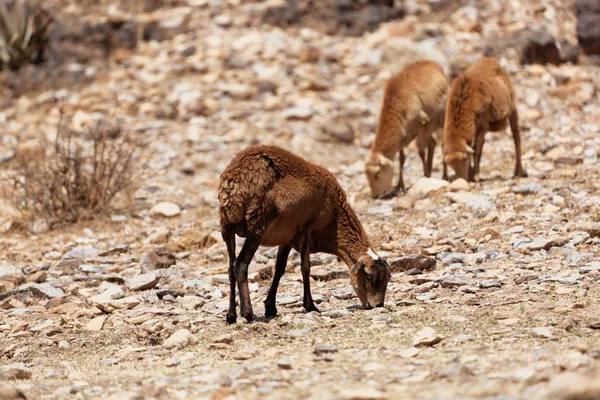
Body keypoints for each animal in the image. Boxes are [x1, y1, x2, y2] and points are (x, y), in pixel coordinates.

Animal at [218, 145, 392, 324]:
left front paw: (270, 307)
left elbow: (279, 268)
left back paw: (231, 315)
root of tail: (235, 185)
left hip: (227, 227)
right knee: (240, 265)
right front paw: (310, 306)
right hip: (257, 226)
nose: (377, 305)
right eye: (369, 277)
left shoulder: (287, 237)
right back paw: (247, 313)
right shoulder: (306, 229)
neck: (335, 219)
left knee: (230, 268)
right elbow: (305, 267)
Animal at [364, 60, 448, 198]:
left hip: (440, 121)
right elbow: (402, 159)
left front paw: (425, 175)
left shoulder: (421, 125)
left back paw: (443, 175)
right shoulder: (402, 136)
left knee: (441, 145)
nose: (375, 195)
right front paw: (400, 186)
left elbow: (421, 152)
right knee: (432, 144)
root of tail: (432, 63)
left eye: (377, 175)